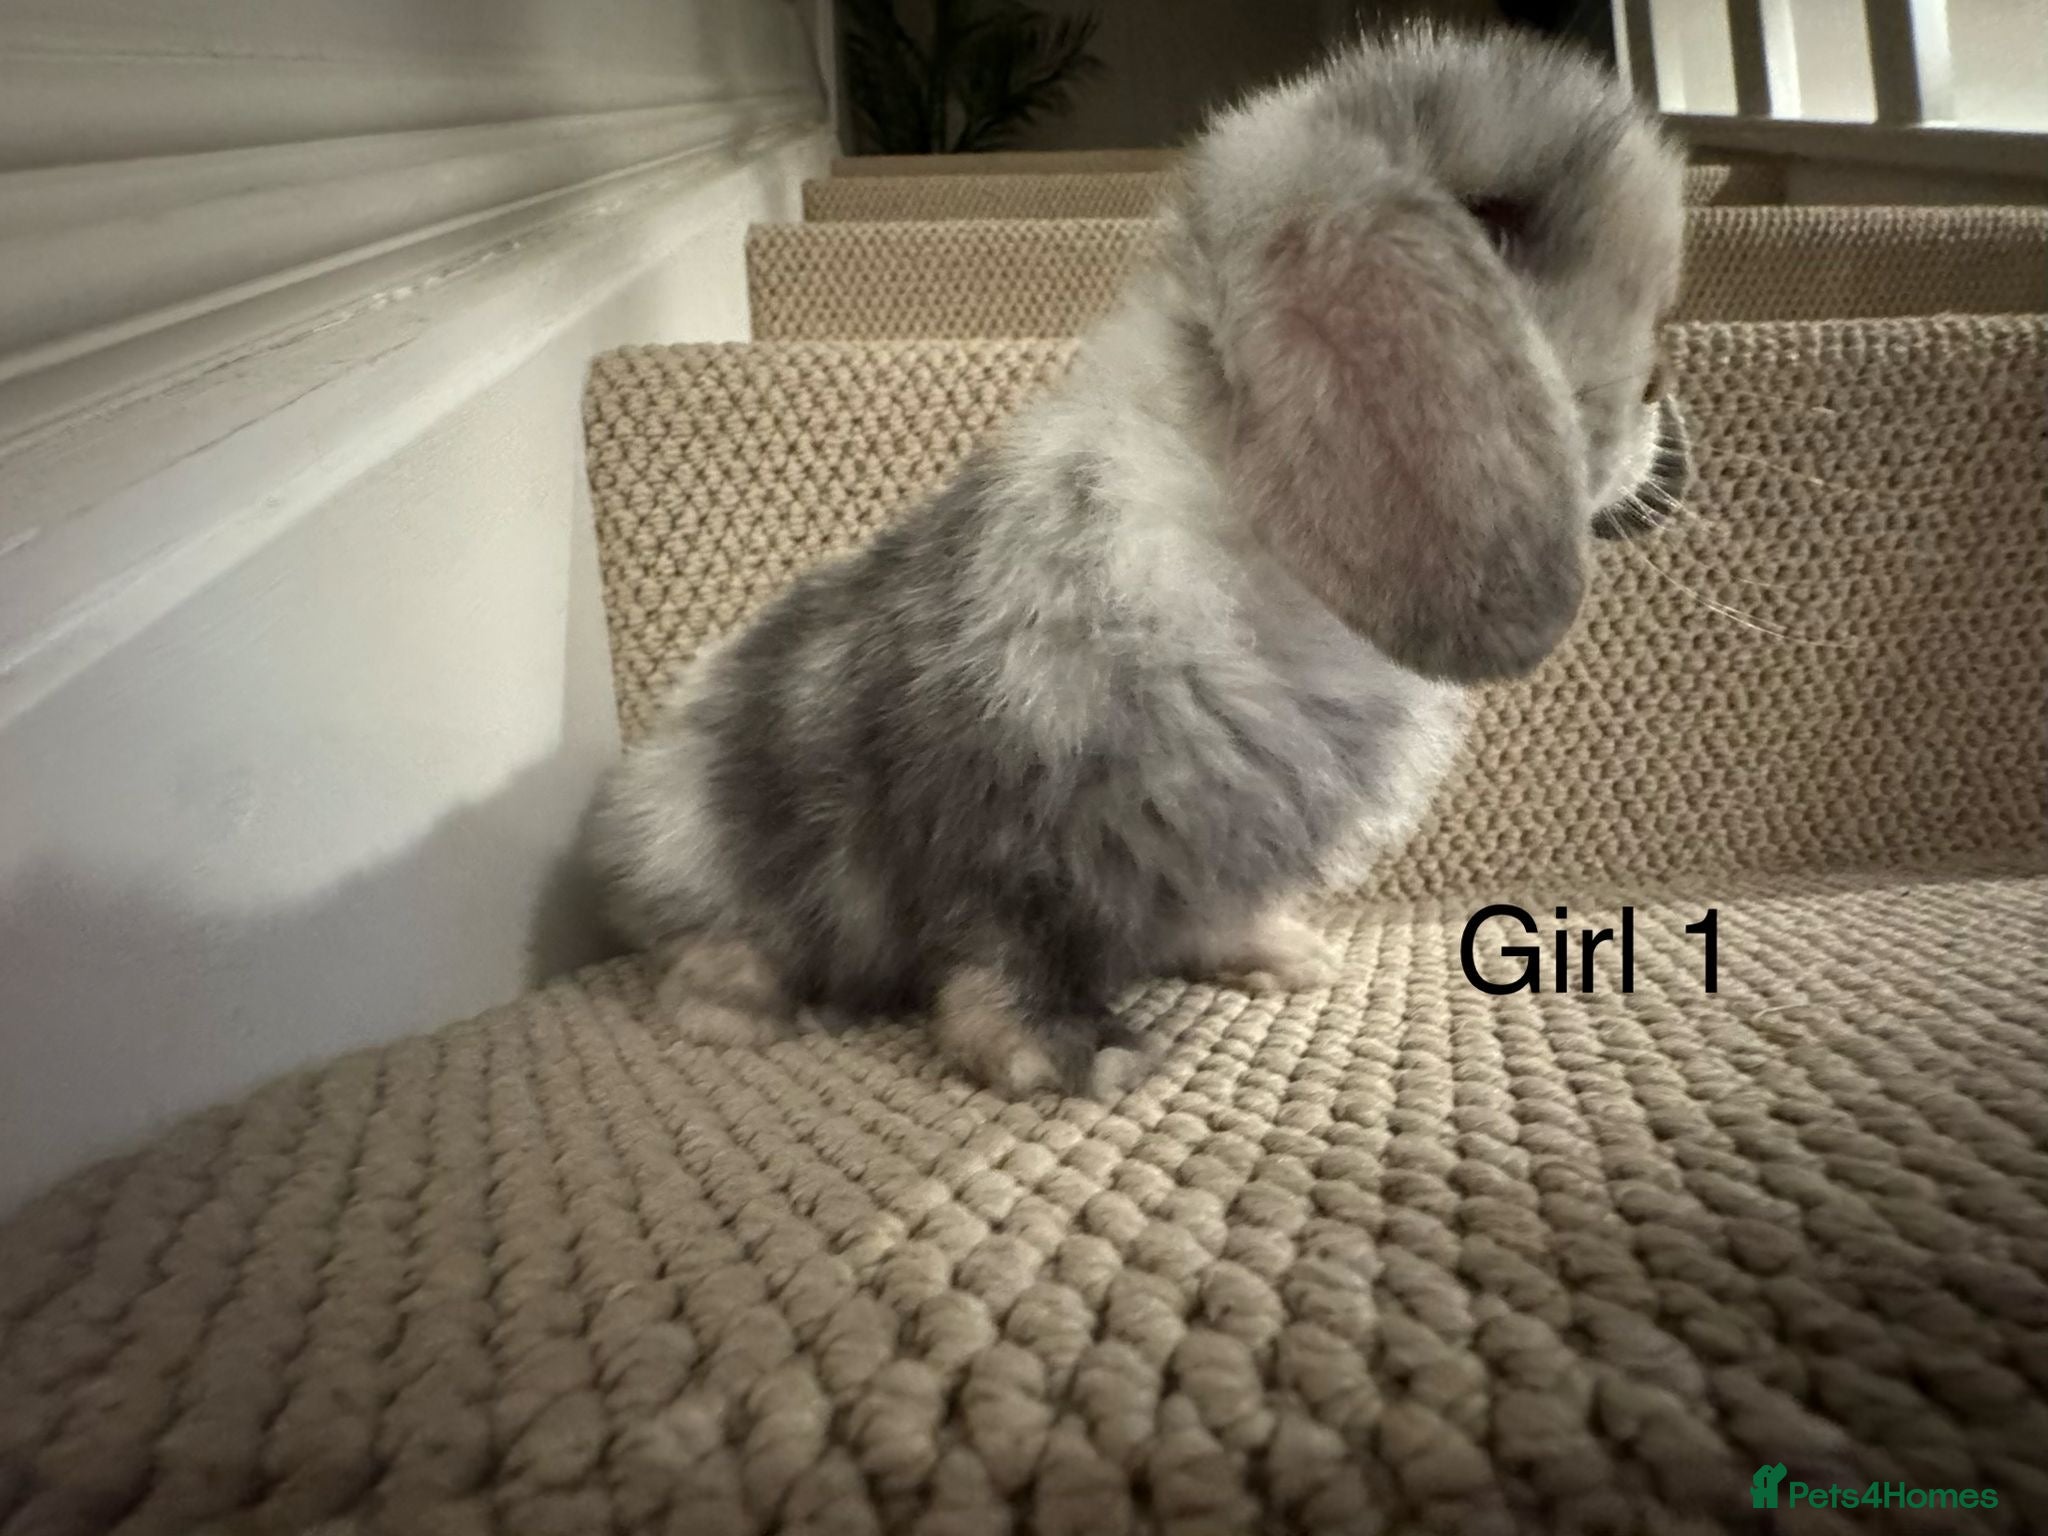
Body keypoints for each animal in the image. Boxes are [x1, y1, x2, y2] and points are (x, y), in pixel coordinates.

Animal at [587, 25, 1693, 1098]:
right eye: (1492, 224)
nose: (1654, 393)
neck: (1244, 546)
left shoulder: (1210, 843)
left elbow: (1209, 911)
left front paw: (1280, 959)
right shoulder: (1005, 828)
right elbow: (1003, 954)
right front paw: (1067, 1058)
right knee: (697, 952)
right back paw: (750, 1010)